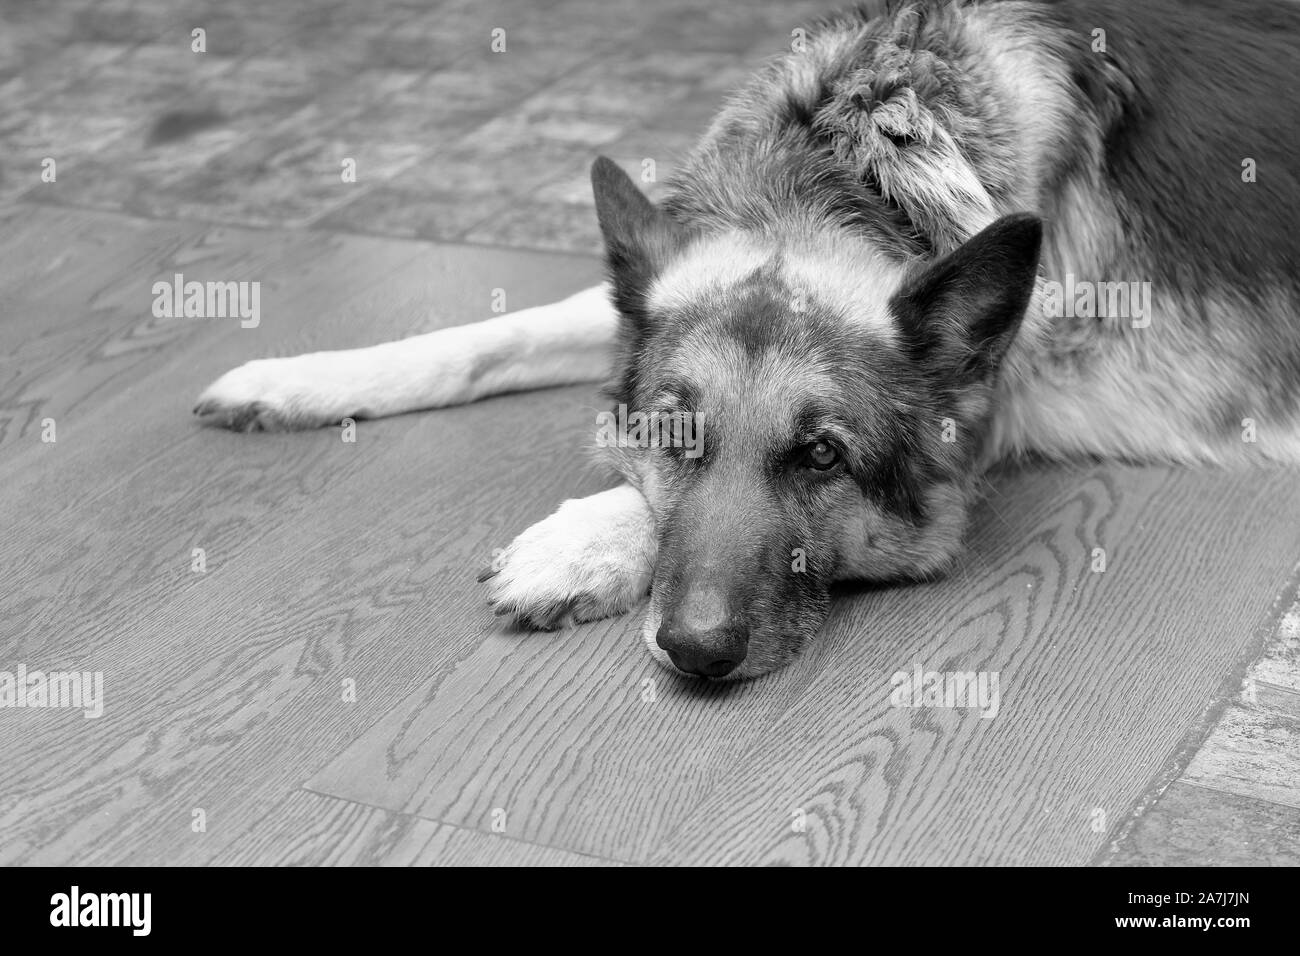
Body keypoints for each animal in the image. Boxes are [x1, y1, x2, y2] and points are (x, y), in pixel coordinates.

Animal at [192, 3, 1300, 686]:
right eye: (679, 437)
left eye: (821, 457)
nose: (694, 654)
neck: (853, 167)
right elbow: (486, 336)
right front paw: (297, 376)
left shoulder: (988, 414)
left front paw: (578, 543)